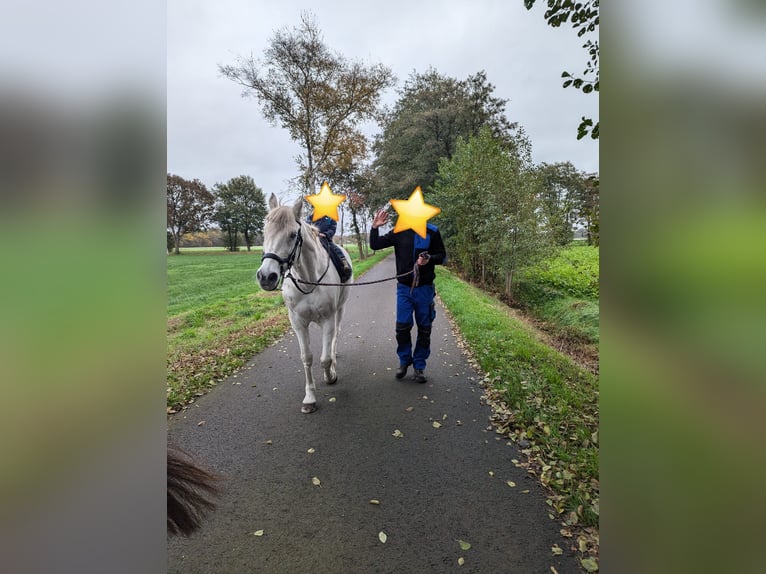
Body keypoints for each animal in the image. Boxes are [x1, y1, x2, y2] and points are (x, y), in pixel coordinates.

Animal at [258, 196, 354, 416]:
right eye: (265, 232)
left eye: (293, 235)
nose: (266, 277)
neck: (308, 280)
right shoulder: (298, 322)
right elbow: (307, 358)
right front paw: (310, 398)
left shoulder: (327, 319)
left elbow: (324, 358)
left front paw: (330, 376)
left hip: (340, 310)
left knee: (335, 337)